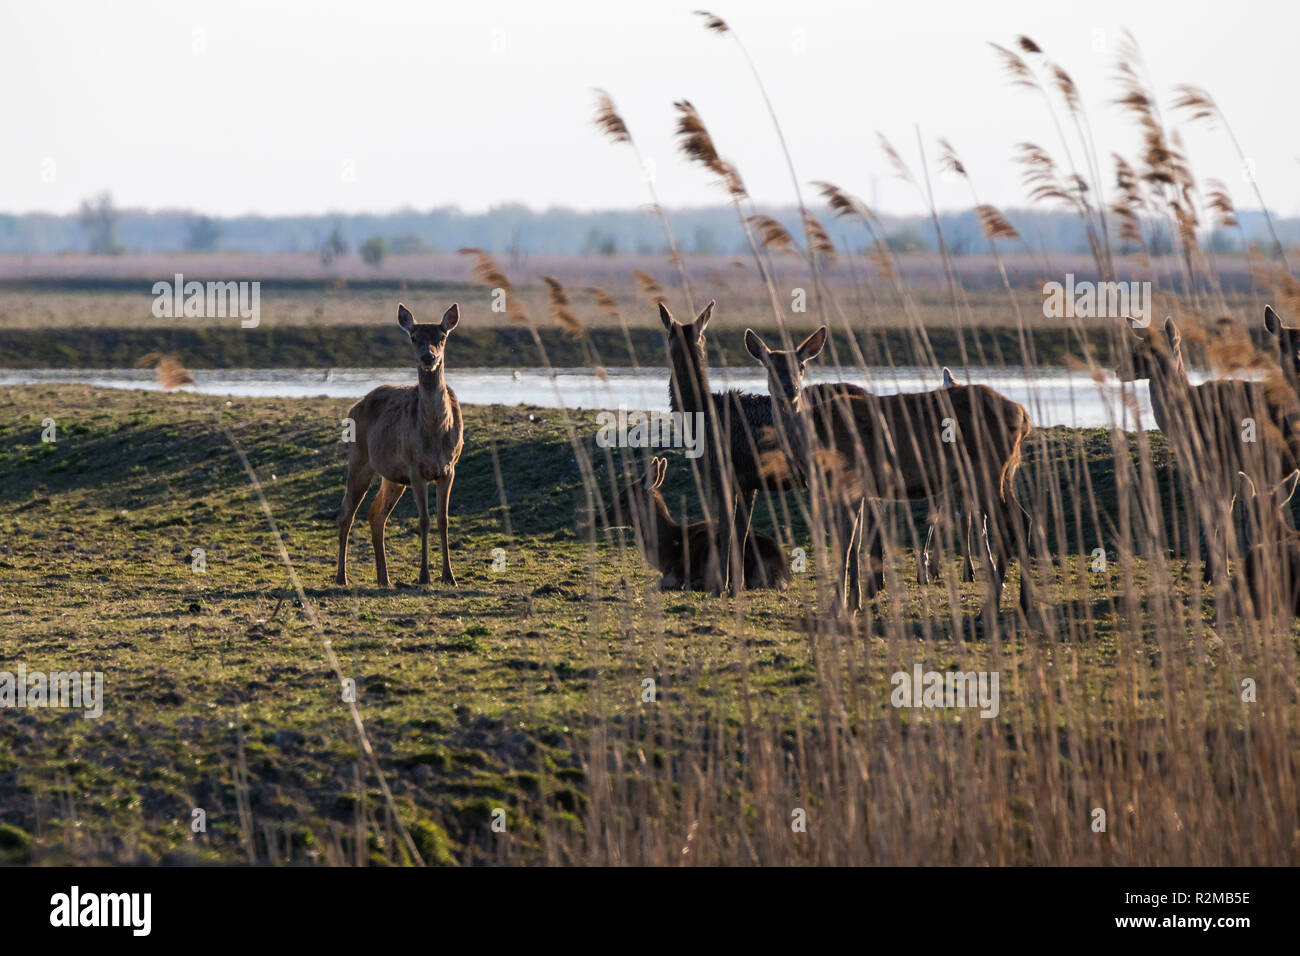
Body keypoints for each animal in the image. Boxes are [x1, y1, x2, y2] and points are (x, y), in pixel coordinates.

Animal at [335, 304, 462, 590]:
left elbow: (443, 519)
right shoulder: (415, 469)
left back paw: (385, 579)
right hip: (359, 459)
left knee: (375, 514)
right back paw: (341, 578)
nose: (428, 357)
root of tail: (354, 406)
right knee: (347, 513)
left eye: (442, 336)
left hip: (392, 476)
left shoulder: (449, 469)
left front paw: (449, 577)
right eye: (413, 337)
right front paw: (424, 577)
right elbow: (424, 520)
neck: (436, 433)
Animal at [743, 325, 1034, 616]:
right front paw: (855, 601)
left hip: (986, 468)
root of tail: (1023, 415)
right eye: (769, 365)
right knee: (1023, 519)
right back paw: (1023, 601)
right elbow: (855, 542)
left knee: (1009, 524)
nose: (790, 388)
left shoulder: (848, 480)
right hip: (1005, 472)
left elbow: (846, 544)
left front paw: (839, 606)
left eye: (801, 365)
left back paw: (993, 604)